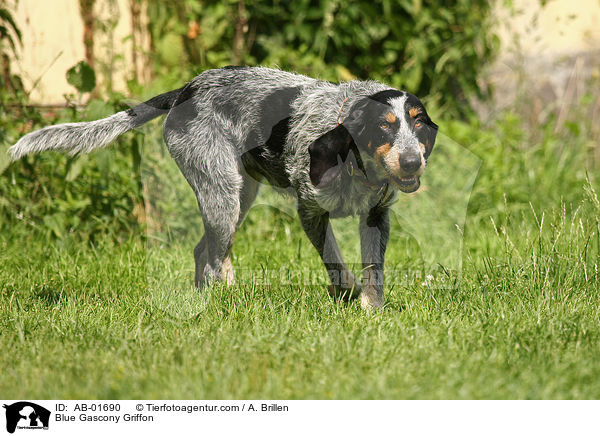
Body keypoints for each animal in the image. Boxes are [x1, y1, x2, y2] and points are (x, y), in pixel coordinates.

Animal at [9, 65, 438, 310]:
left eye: (418, 123)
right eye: (384, 125)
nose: (412, 162)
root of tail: (185, 89)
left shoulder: (376, 216)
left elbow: (373, 268)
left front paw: (371, 309)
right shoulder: (309, 209)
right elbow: (335, 260)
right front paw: (346, 293)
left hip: (237, 195)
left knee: (205, 251)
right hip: (222, 193)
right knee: (214, 257)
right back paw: (221, 302)